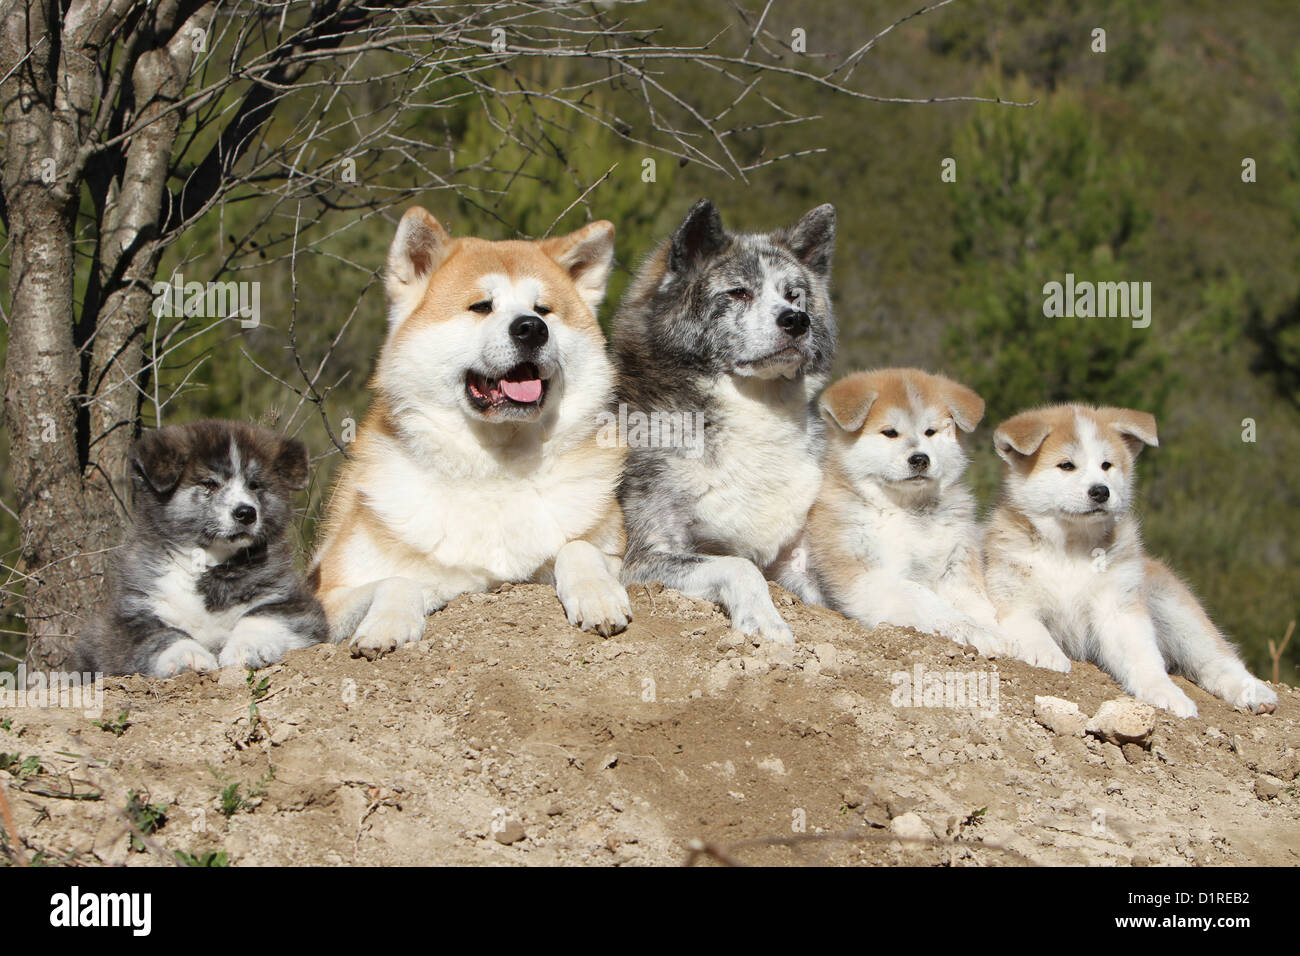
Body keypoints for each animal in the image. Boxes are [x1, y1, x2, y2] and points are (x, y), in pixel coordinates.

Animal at [71, 421, 327, 676]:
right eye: (209, 484)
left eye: (255, 485)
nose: (246, 513)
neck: (208, 562)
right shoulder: (127, 619)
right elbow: (161, 635)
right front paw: (188, 655)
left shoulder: (291, 600)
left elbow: (261, 616)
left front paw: (246, 647)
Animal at [319, 208, 634, 658]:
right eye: (481, 306)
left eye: (544, 309)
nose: (531, 328)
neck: (495, 473)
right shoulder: (328, 594)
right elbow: (398, 580)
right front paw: (386, 626)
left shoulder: (617, 554)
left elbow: (578, 547)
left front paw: (597, 594)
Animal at [608, 197, 832, 642]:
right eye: (739, 292)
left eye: (794, 296)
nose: (796, 320)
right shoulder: (641, 558)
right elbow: (739, 565)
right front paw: (764, 620)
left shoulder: (796, 560)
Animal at [811, 369, 1003, 658]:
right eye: (890, 433)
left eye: (930, 432)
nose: (920, 459)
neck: (907, 512)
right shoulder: (867, 572)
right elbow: (923, 597)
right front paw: (971, 631)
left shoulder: (956, 567)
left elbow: (981, 608)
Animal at [982, 403, 1279, 717]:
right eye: (1066, 465)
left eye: (1106, 465)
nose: (1101, 491)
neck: (1070, 550)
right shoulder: (1012, 595)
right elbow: (1031, 627)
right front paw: (1046, 654)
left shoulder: (1119, 608)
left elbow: (1144, 659)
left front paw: (1165, 692)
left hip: (1175, 610)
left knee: (1218, 659)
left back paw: (1254, 692)